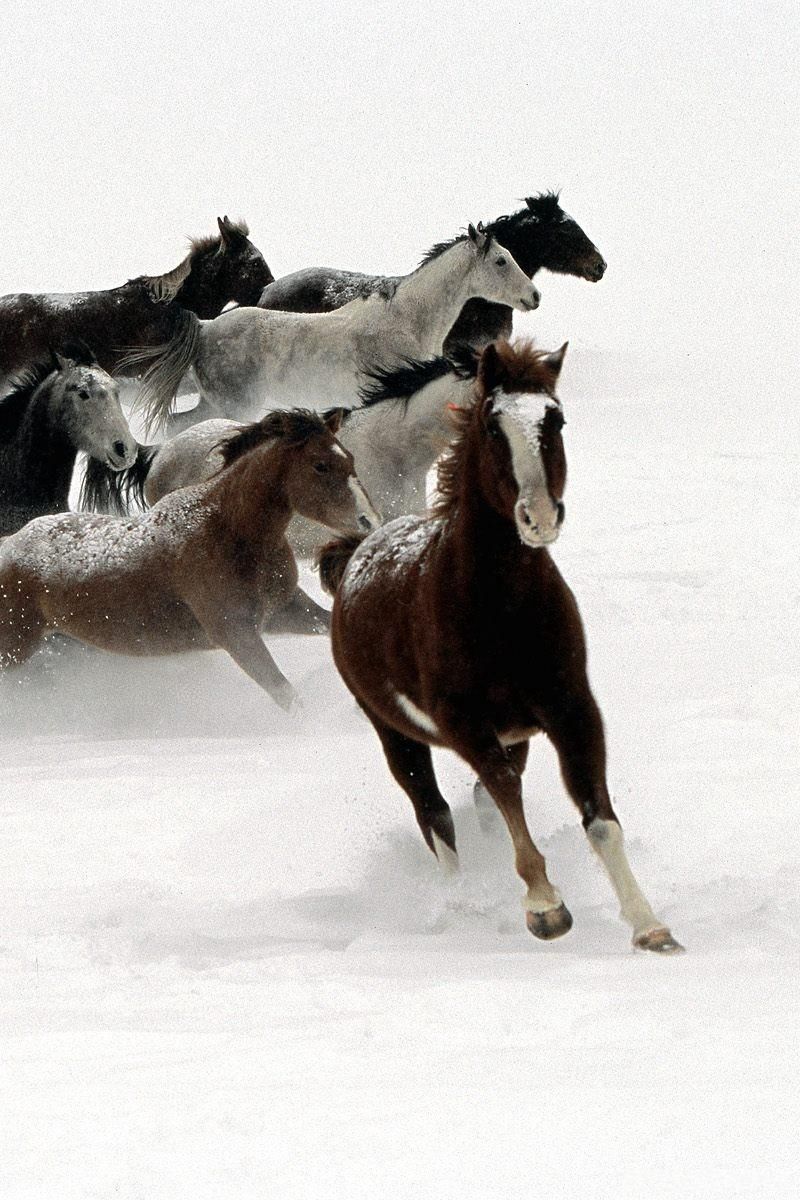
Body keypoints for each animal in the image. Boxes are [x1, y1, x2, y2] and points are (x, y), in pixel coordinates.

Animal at [0, 410, 380, 710]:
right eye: (320, 465)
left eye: (350, 459)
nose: (369, 521)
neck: (229, 530)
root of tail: (7, 546)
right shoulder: (236, 634)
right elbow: (285, 694)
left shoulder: (284, 611)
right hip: (13, 652)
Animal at [130, 223, 540, 431]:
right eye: (501, 261)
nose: (534, 296)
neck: (407, 322)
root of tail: (204, 329)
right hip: (233, 407)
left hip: (214, 404)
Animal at [319, 339, 682, 954]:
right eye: (492, 427)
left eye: (555, 419)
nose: (539, 517)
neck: (501, 611)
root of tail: (354, 553)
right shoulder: (465, 723)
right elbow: (504, 793)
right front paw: (545, 908)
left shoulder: (571, 709)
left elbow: (598, 815)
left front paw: (649, 926)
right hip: (394, 733)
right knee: (435, 814)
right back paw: (462, 904)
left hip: (515, 733)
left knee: (477, 805)